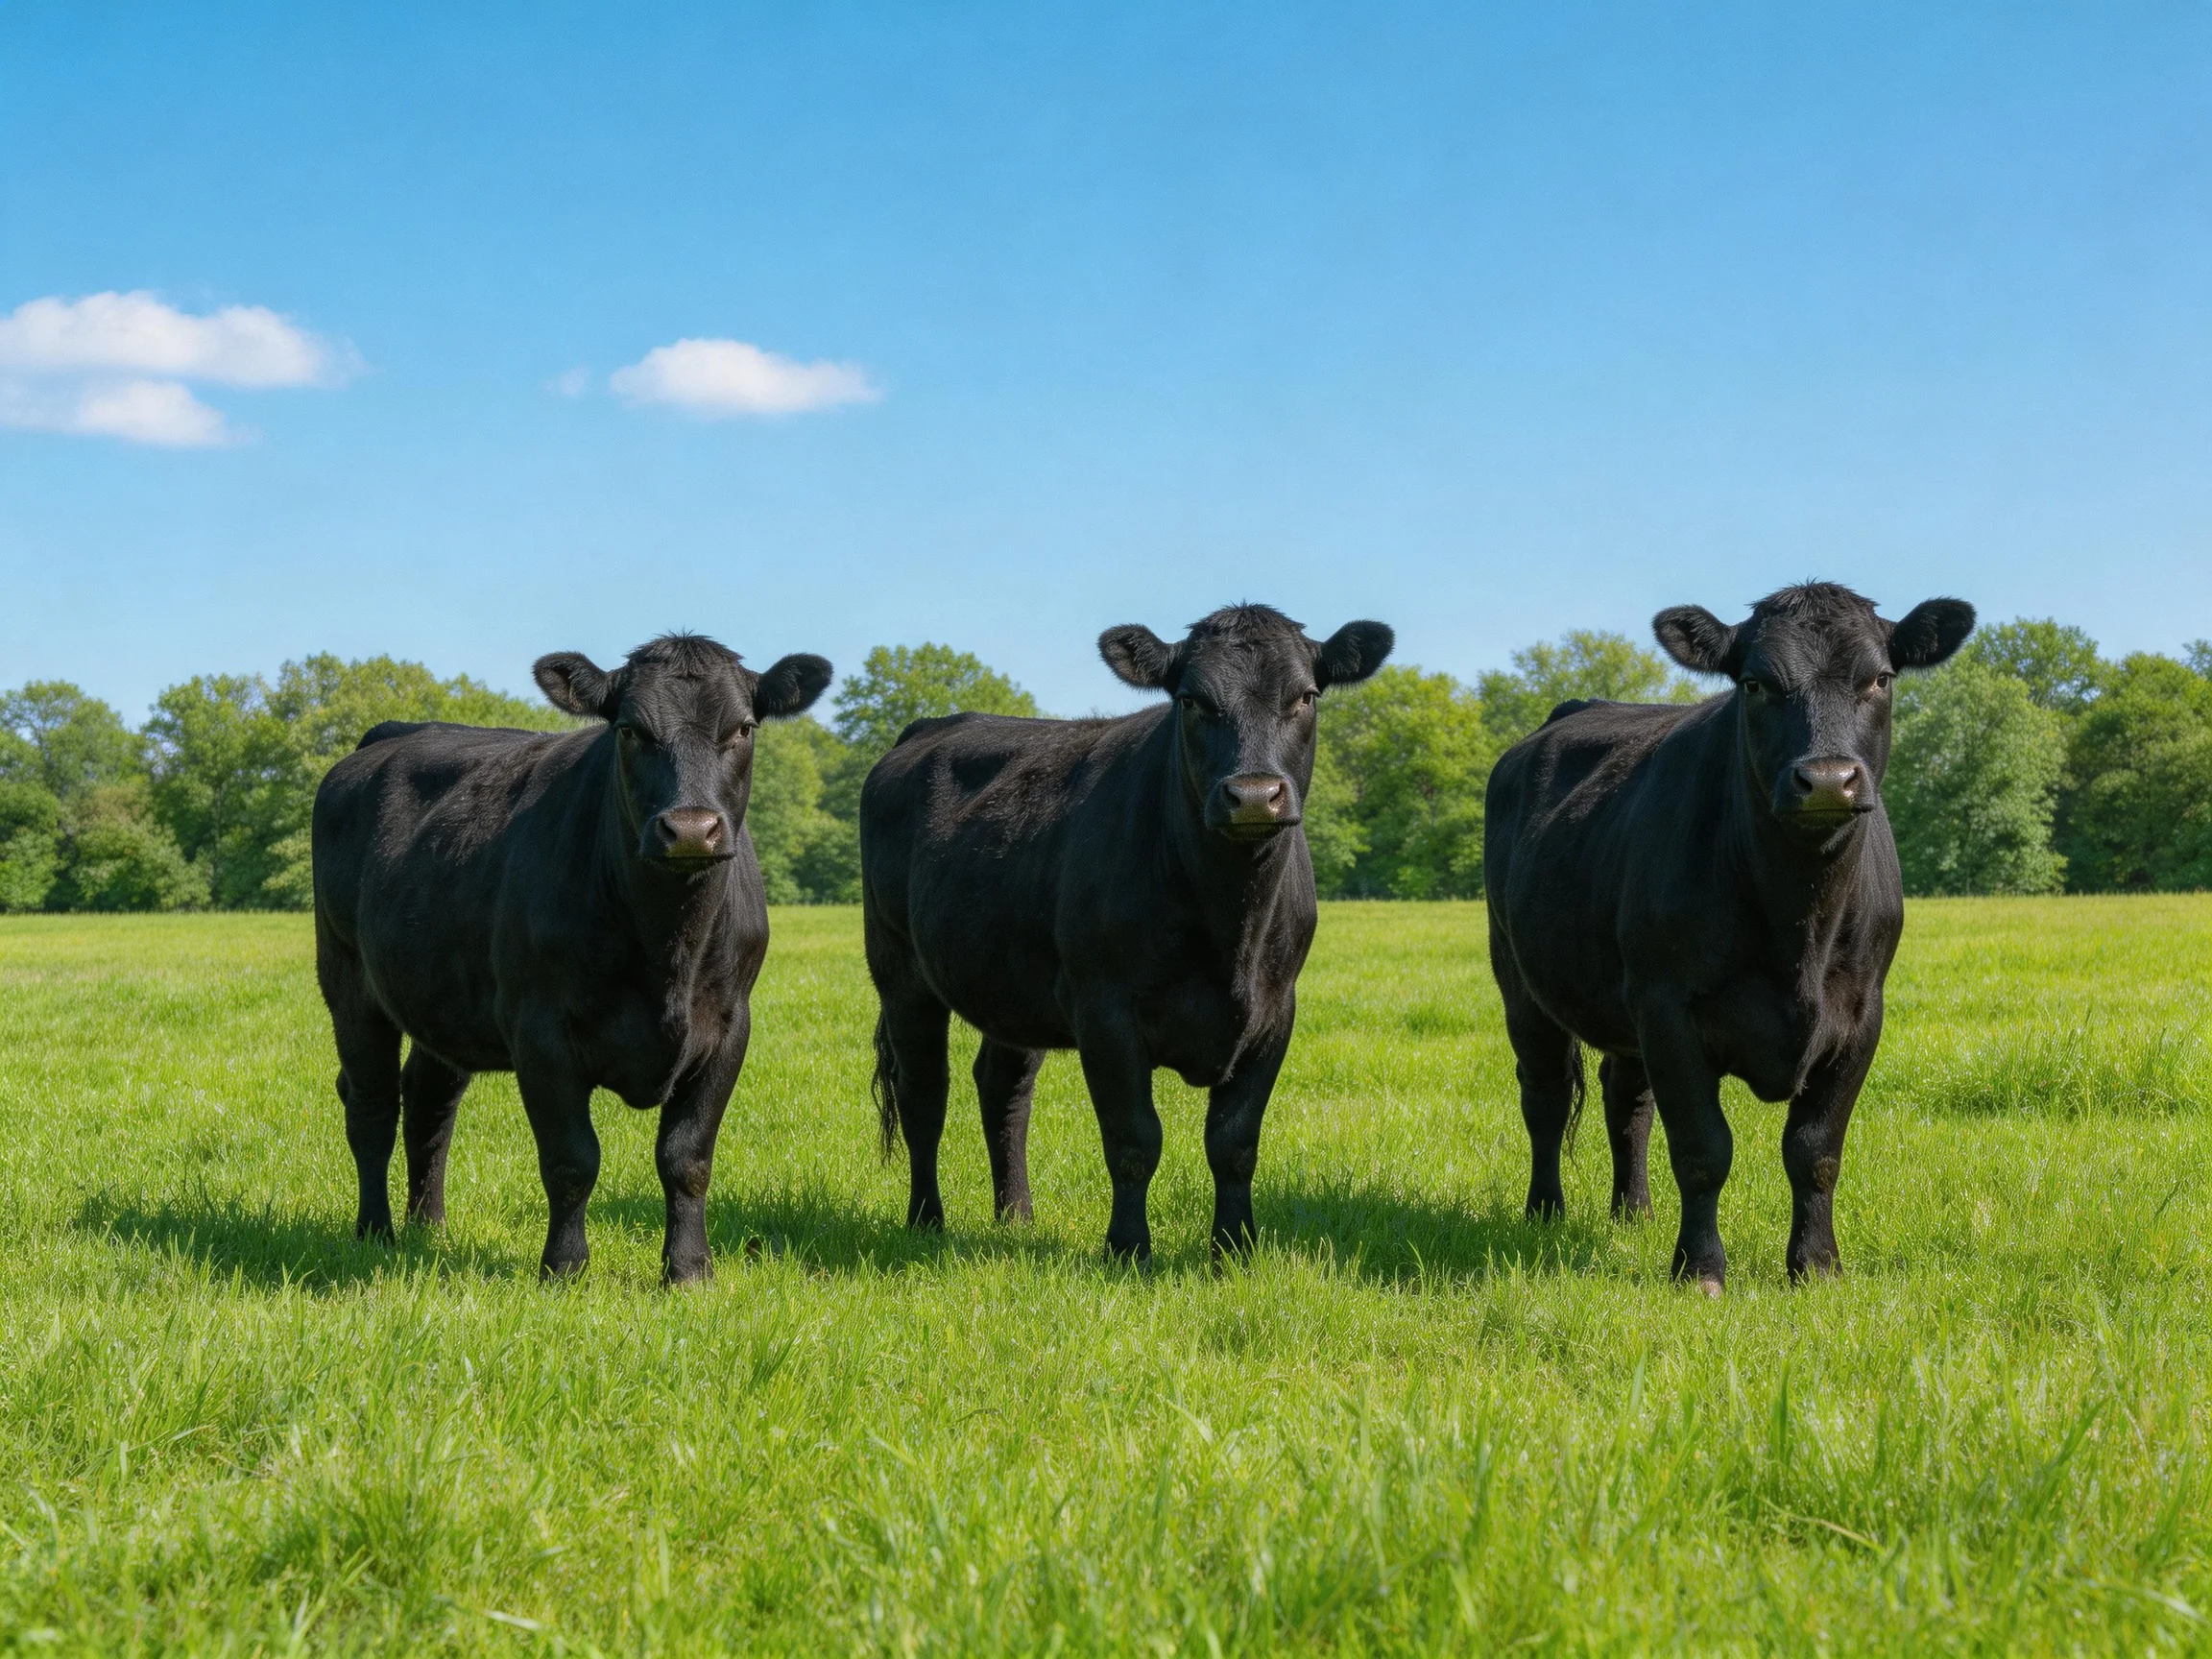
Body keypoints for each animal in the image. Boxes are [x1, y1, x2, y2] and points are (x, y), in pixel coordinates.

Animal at [310, 633, 831, 1283]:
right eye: (629, 730)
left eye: (742, 728)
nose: (690, 829)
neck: (669, 948)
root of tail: (391, 732)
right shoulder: (541, 1033)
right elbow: (571, 1159)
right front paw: (564, 1269)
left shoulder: (730, 1026)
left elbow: (687, 1157)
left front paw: (689, 1271)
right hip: (348, 977)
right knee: (372, 1104)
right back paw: (375, 1232)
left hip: (443, 996)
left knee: (429, 1101)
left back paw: (428, 1229)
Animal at [860, 605, 1393, 1261]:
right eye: (1191, 700)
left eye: (1306, 696)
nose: (1253, 796)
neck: (1230, 925)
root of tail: (928, 727)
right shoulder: (1104, 1009)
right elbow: (1134, 1139)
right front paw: (1129, 1250)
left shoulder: (1275, 1010)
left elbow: (1235, 1143)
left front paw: (1234, 1250)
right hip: (900, 970)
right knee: (924, 1095)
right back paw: (926, 1221)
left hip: (1010, 980)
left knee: (1003, 1089)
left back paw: (1016, 1220)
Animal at [1484, 582, 1973, 1292]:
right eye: (1755, 684)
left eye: (1879, 678)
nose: (1828, 779)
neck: (1799, 923)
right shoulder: (1669, 1010)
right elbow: (1702, 1149)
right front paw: (1699, 1270)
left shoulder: (1861, 1015)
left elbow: (1815, 1150)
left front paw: (1816, 1266)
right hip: (1520, 980)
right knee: (1545, 1096)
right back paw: (1544, 1212)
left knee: (1625, 1099)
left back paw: (1633, 1212)